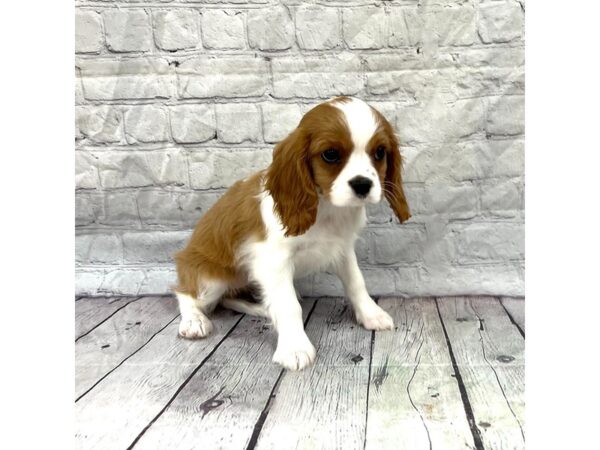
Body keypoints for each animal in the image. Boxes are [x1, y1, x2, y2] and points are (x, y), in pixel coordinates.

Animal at [171, 96, 410, 370]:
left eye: (380, 152)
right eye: (330, 154)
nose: (363, 184)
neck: (325, 208)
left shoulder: (342, 248)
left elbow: (356, 282)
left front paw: (371, 314)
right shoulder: (273, 260)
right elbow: (288, 305)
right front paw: (294, 347)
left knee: (229, 298)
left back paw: (261, 308)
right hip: (211, 277)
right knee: (186, 293)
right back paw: (194, 321)